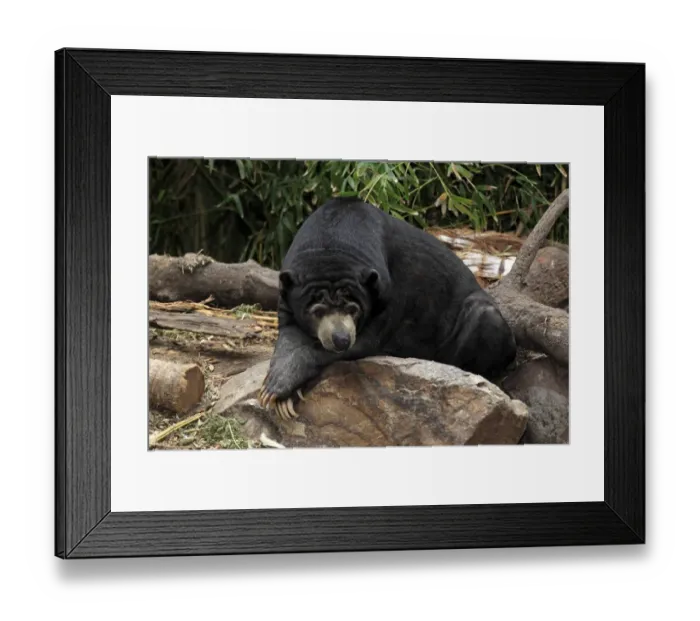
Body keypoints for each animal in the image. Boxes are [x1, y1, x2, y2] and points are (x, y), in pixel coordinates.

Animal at [258, 196, 517, 420]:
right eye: (317, 311)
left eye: (354, 309)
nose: (341, 339)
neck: (330, 246)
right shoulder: (288, 294)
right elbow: (288, 336)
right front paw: (277, 396)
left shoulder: (387, 295)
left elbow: (366, 341)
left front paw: (276, 390)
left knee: (485, 320)